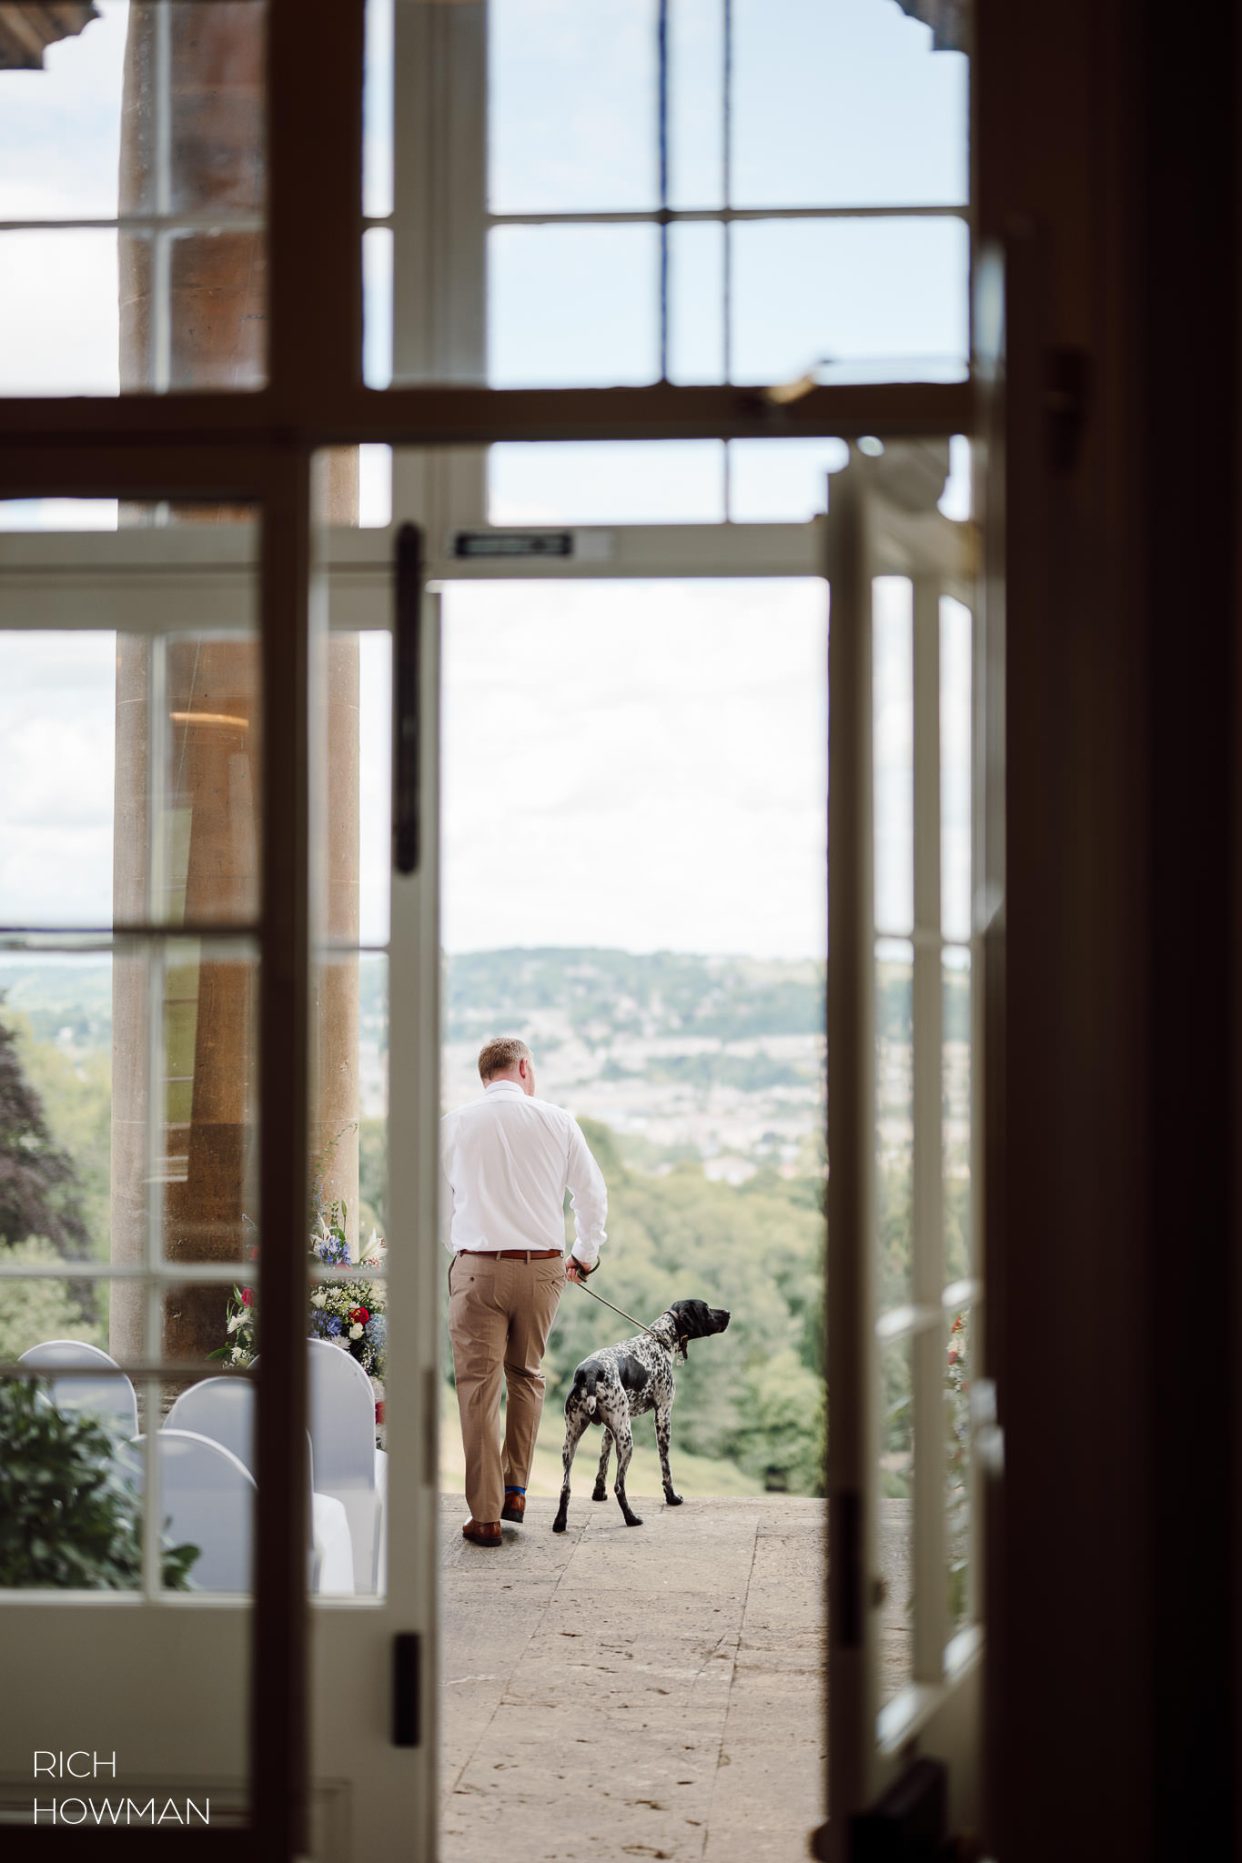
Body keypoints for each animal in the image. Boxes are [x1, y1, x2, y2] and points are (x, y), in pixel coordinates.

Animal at [551, 1296, 729, 1527]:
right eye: (706, 1309)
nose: (728, 1312)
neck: (659, 1340)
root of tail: (590, 1371)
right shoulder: (663, 1415)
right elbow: (666, 1466)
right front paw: (672, 1497)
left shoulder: (611, 1430)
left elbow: (602, 1462)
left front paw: (598, 1493)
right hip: (627, 1441)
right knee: (619, 1486)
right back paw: (631, 1518)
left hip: (572, 1440)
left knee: (566, 1486)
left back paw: (560, 1523)